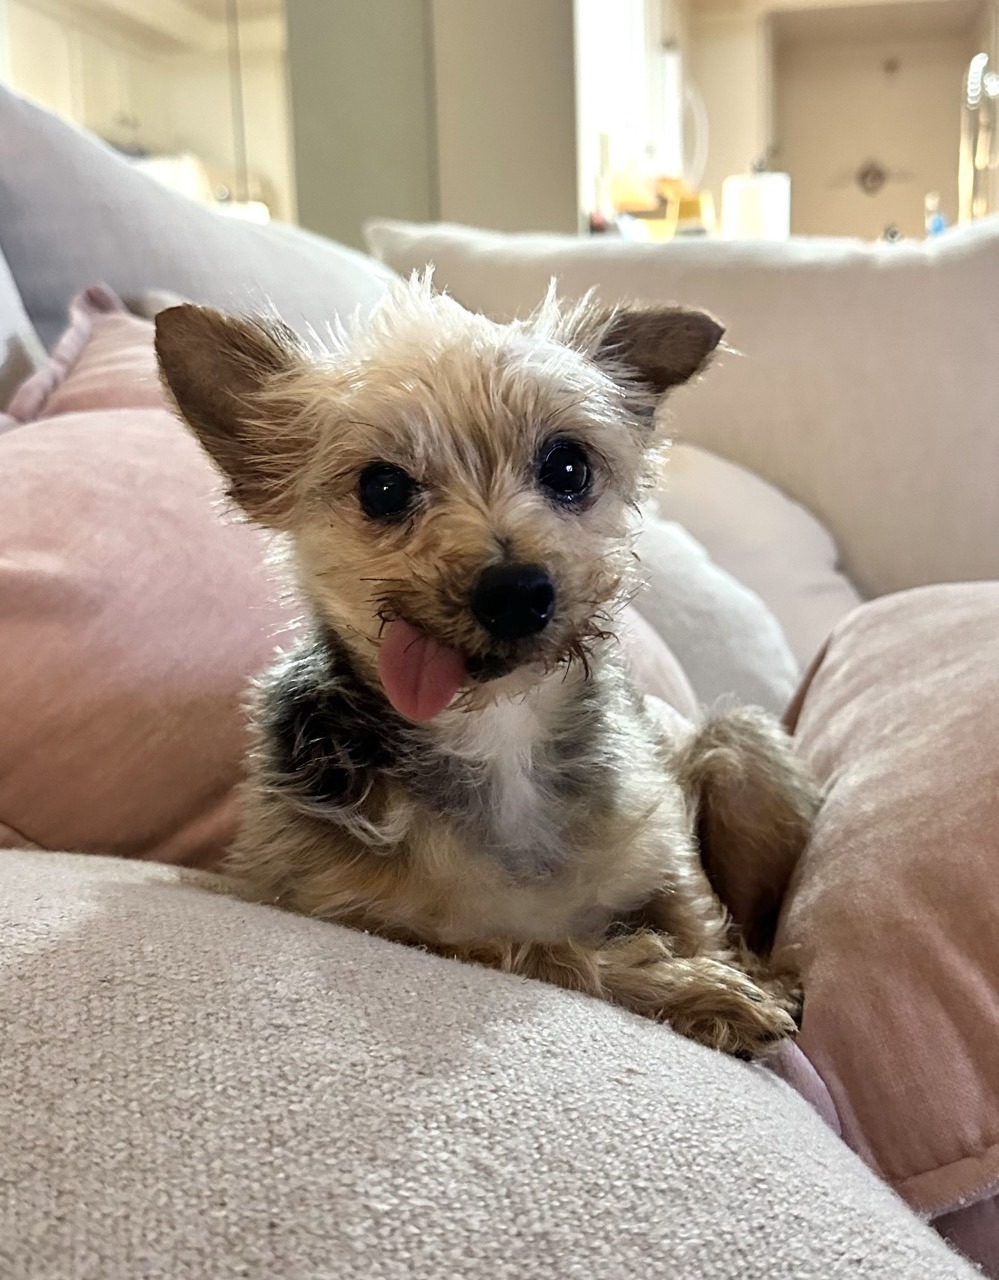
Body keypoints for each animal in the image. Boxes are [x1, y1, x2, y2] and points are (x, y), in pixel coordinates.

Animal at [152, 275, 814, 1054]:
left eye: (568, 466)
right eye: (381, 487)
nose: (516, 591)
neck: (498, 732)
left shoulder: (659, 835)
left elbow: (695, 911)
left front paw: (739, 977)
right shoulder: (383, 922)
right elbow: (552, 953)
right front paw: (707, 992)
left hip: (740, 743)